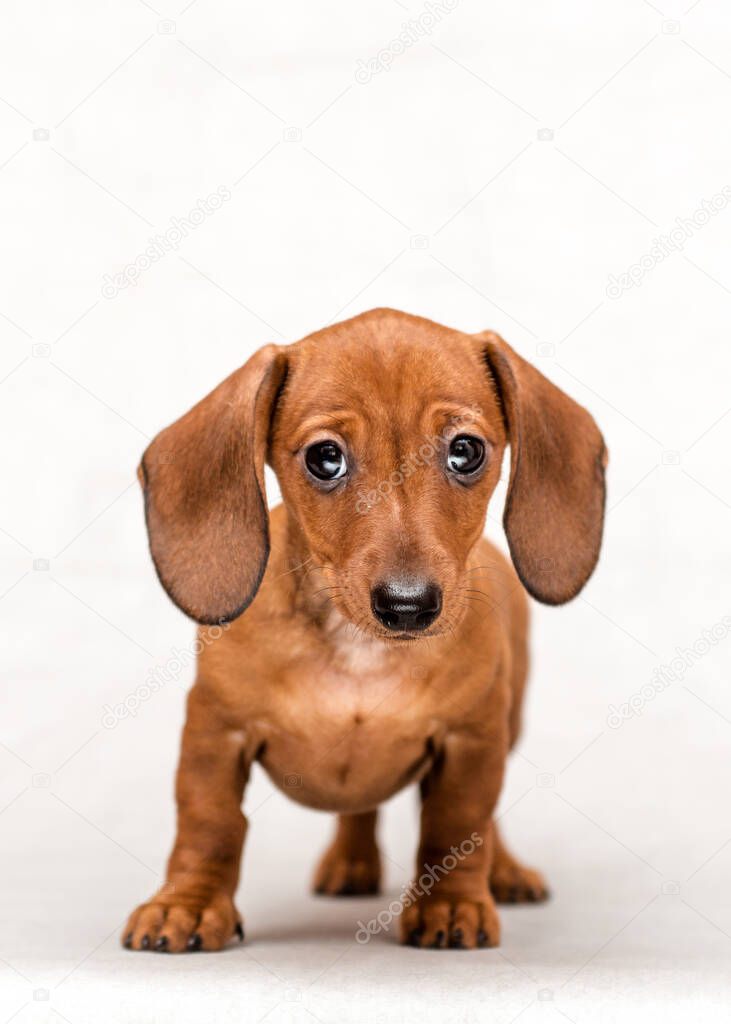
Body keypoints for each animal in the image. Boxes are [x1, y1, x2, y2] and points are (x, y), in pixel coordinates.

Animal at [123, 309, 602, 950]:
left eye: (466, 451)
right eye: (325, 458)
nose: (408, 606)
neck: (357, 653)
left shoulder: (472, 740)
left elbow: (457, 825)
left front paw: (451, 904)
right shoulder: (215, 734)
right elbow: (209, 826)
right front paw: (188, 906)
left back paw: (501, 871)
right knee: (358, 811)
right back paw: (351, 863)